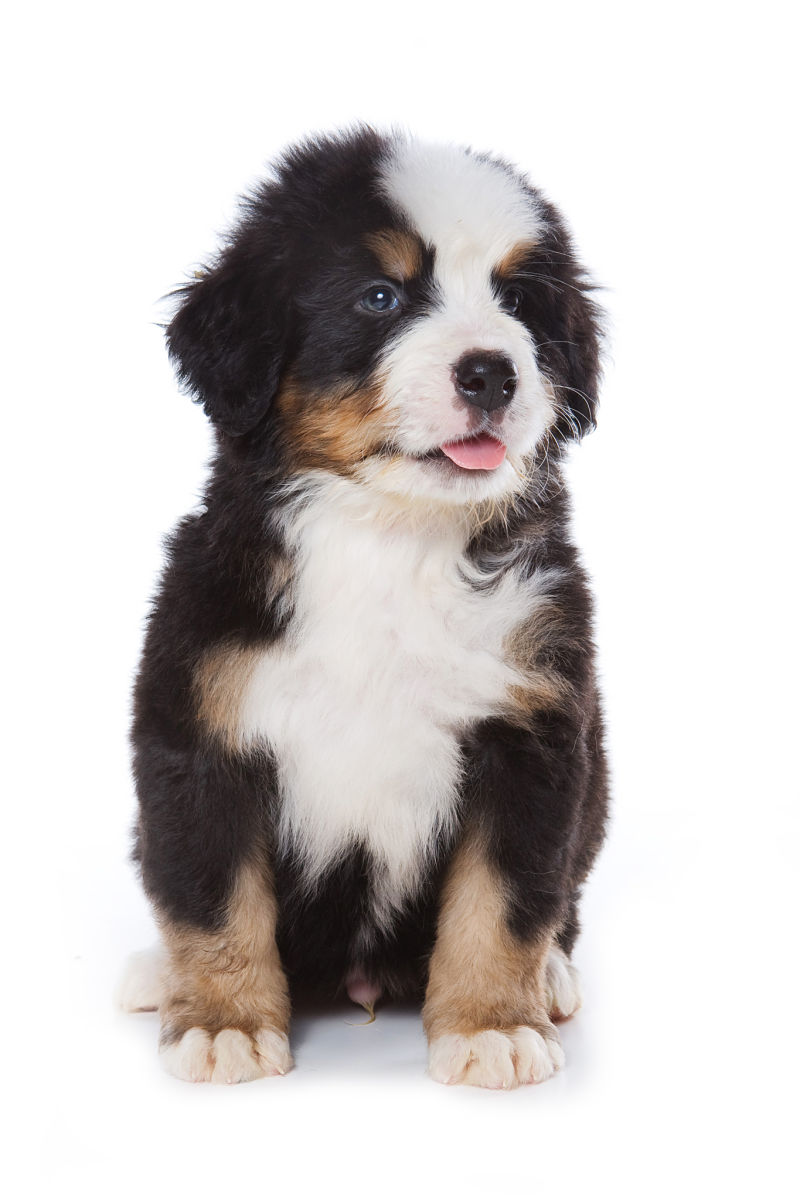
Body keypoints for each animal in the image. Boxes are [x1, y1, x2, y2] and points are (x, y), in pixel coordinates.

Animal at [125, 129, 609, 1089]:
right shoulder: (200, 731)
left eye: (518, 302)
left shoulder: (532, 734)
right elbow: (211, 895)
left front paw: (494, 1024)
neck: (388, 539)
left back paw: (553, 977)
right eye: (380, 296)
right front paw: (224, 1022)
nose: (492, 373)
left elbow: (504, 901)